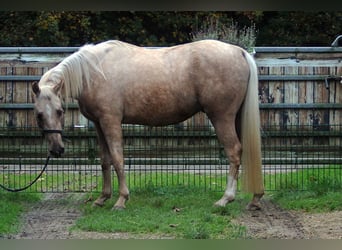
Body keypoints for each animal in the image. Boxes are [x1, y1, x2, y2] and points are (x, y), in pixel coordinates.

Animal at [32, 40, 264, 210]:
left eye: (60, 111)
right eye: (39, 115)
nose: (57, 150)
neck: (94, 70)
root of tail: (238, 51)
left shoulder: (110, 121)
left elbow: (117, 159)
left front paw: (121, 199)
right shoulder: (98, 124)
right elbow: (105, 160)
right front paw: (103, 198)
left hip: (222, 118)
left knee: (234, 152)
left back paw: (226, 198)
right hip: (236, 118)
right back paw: (255, 198)